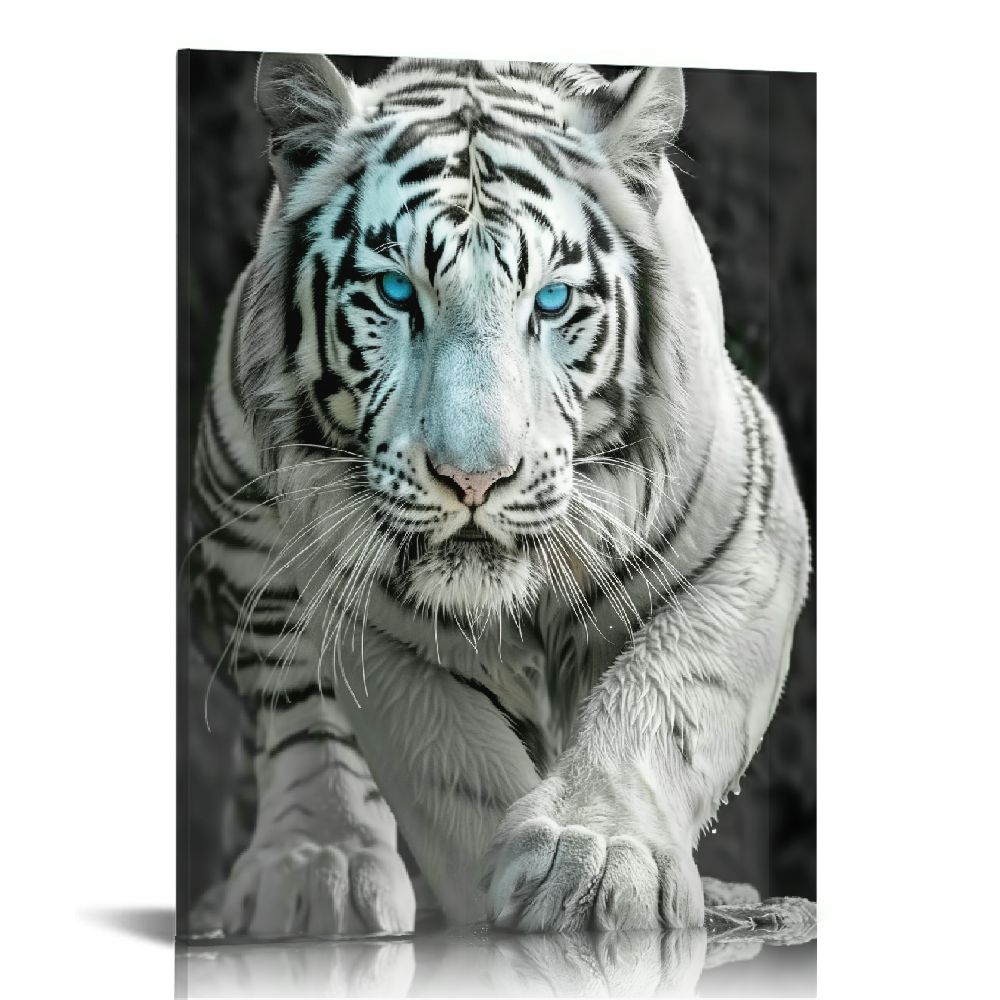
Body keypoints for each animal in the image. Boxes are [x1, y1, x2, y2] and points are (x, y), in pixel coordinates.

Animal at [186, 52, 811, 937]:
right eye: (396, 292)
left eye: (550, 300)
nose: (475, 477)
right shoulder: (373, 616)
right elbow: (450, 767)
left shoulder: (747, 541)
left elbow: (666, 699)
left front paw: (599, 855)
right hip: (245, 541)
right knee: (299, 709)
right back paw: (317, 867)